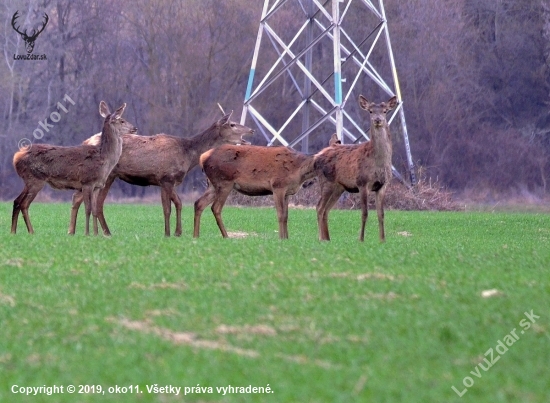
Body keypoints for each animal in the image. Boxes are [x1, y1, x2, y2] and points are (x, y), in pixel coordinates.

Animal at [12, 102, 135, 237]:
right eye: (122, 120)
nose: (135, 128)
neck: (104, 159)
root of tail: (16, 157)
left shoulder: (97, 186)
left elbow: (95, 210)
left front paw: (96, 234)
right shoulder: (87, 182)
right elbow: (88, 209)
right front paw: (87, 233)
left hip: (29, 181)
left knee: (17, 201)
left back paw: (13, 231)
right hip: (35, 179)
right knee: (24, 204)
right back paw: (31, 231)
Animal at [67, 111, 254, 237]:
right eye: (232, 124)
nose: (251, 130)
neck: (188, 155)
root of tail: (86, 141)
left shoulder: (164, 181)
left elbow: (172, 205)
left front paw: (171, 232)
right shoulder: (167, 178)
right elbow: (172, 206)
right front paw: (173, 233)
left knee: (82, 199)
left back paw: (75, 231)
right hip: (106, 175)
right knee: (93, 202)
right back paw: (102, 232)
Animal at [314, 94, 396, 243]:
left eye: (385, 111)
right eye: (370, 111)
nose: (377, 120)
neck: (379, 163)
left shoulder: (383, 185)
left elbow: (381, 214)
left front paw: (382, 240)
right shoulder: (362, 183)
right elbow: (364, 213)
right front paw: (361, 239)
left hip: (339, 187)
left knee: (326, 209)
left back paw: (328, 238)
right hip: (326, 181)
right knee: (319, 207)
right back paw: (321, 238)